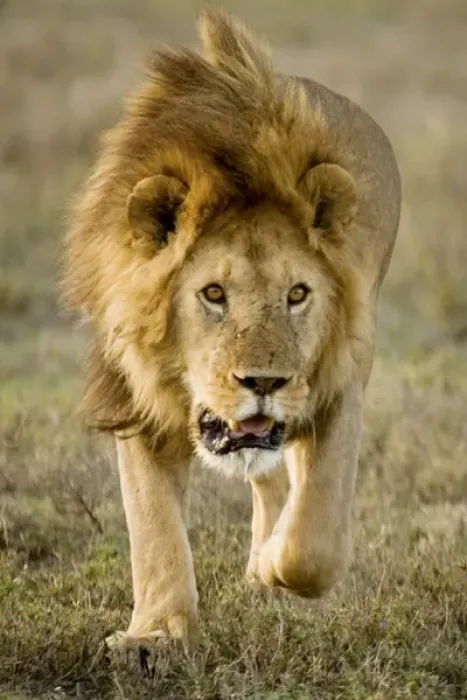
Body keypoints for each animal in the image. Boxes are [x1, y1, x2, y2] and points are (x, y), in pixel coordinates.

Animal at [63, 7, 400, 653]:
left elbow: (314, 544)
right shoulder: (134, 398)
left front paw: (272, 565)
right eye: (213, 294)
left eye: (297, 294)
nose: (263, 382)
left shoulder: (338, 385)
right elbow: (154, 526)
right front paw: (156, 635)